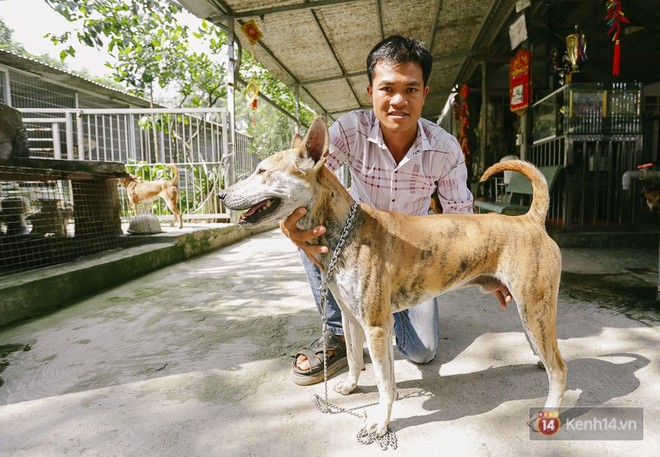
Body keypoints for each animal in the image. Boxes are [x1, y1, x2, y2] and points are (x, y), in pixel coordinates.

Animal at [219, 116, 564, 434]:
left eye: (262, 171)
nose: (221, 195)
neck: (346, 230)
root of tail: (530, 220)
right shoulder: (354, 319)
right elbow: (355, 357)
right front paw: (351, 386)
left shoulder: (376, 326)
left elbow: (385, 383)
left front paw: (380, 422)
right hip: (532, 311)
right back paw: (538, 361)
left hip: (534, 308)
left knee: (559, 369)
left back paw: (548, 411)